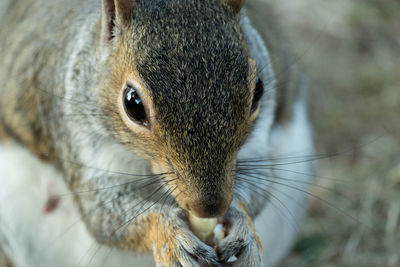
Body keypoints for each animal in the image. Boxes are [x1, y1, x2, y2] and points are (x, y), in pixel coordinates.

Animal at [0, 0, 312, 267]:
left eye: (258, 90)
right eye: (132, 103)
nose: (209, 206)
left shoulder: (256, 146)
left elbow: (257, 184)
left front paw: (241, 226)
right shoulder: (77, 136)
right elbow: (104, 214)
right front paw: (170, 235)